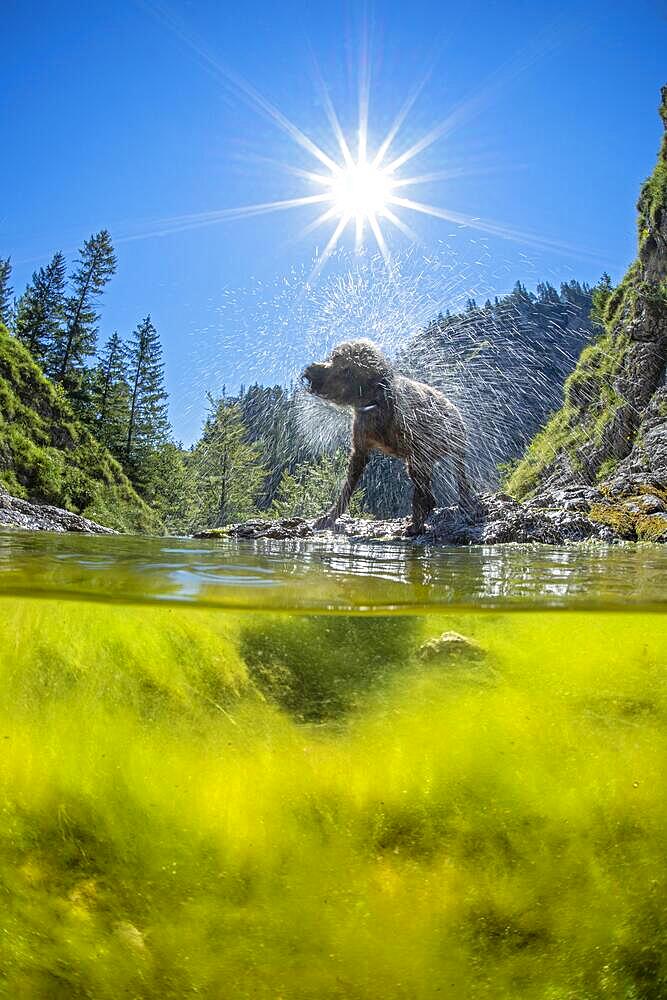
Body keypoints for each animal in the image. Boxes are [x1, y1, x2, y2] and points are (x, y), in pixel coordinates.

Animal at [302, 340, 474, 536]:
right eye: (332, 356)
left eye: (342, 366)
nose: (311, 369)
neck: (375, 403)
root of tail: (453, 407)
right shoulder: (360, 446)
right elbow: (347, 487)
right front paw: (329, 517)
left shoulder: (415, 442)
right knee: (428, 492)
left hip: (449, 446)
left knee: (450, 481)